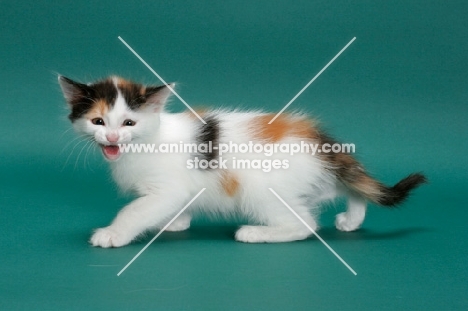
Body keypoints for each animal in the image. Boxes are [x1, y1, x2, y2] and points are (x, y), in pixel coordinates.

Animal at [56, 75, 426, 249]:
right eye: (98, 122)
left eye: (129, 123)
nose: (112, 138)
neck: (147, 142)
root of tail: (320, 141)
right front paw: (176, 222)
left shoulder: (168, 189)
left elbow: (136, 210)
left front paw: (112, 234)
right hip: (310, 179)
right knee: (346, 188)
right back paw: (351, 219)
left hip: (260, 187)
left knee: (305, 224)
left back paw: (256, 232)